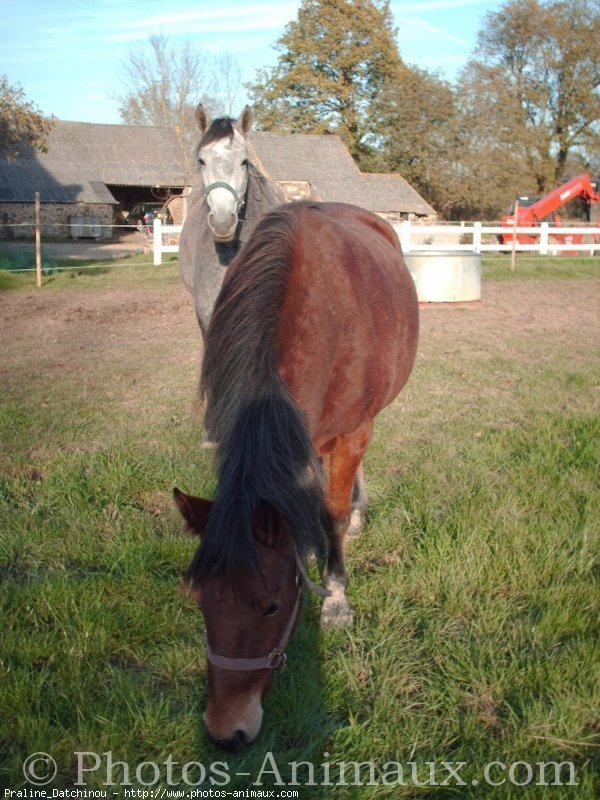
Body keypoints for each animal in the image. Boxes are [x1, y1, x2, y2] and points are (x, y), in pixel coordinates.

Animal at [173, 200, 418, 752]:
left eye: (270, 607)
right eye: (200, 602)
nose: (226, 732)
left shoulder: (351, 433)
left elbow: (330, 514)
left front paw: (335, 598)